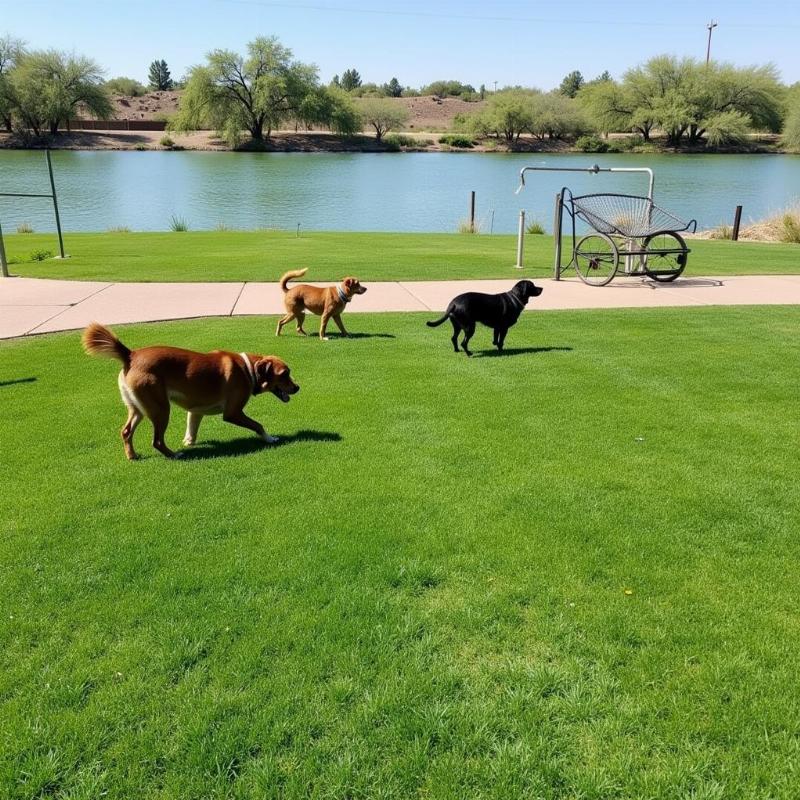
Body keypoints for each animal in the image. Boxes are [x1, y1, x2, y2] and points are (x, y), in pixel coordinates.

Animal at [83, 322, 300, 460]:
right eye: (285, 373)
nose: (297, 387)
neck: (248, 368)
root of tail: (130, 355)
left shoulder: (196, 411)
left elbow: (192, 427)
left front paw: (189, 441)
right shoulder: (233, 413)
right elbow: (258, 425)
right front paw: (269, 438)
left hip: (138, 408)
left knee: (126, 431)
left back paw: (132, 455)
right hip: (161, 409)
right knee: (157, 441)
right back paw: (174, 455)